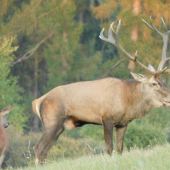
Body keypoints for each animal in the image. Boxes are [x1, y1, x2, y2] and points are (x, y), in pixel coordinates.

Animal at [32, 16, 170, 165]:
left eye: (164, 81)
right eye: (154, 83)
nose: (169, 97)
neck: (126, 102)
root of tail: (38, 101)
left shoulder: (122, 124)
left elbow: (120, 149)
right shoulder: (107, 119)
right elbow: (109, 148)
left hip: (59, 126)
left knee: (45, 150)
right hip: (52, 121)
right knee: (38, 148)